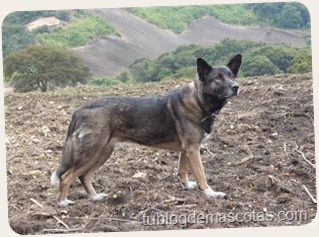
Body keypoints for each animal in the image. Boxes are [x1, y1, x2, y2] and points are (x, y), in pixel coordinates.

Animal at [50, 54, 242, 206]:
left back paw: (95, 197)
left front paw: (187, 186)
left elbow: (182, 171)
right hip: (91, 151)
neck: (199, 100)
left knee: (84, 176)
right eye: (217, 78)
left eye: (231, 75)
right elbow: (201, 175)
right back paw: (63, 202)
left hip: (103, 152)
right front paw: (211, 193)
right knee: (66, 177)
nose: (236, 87)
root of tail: (79, 111)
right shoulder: (193, 149)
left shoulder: (187, 150)